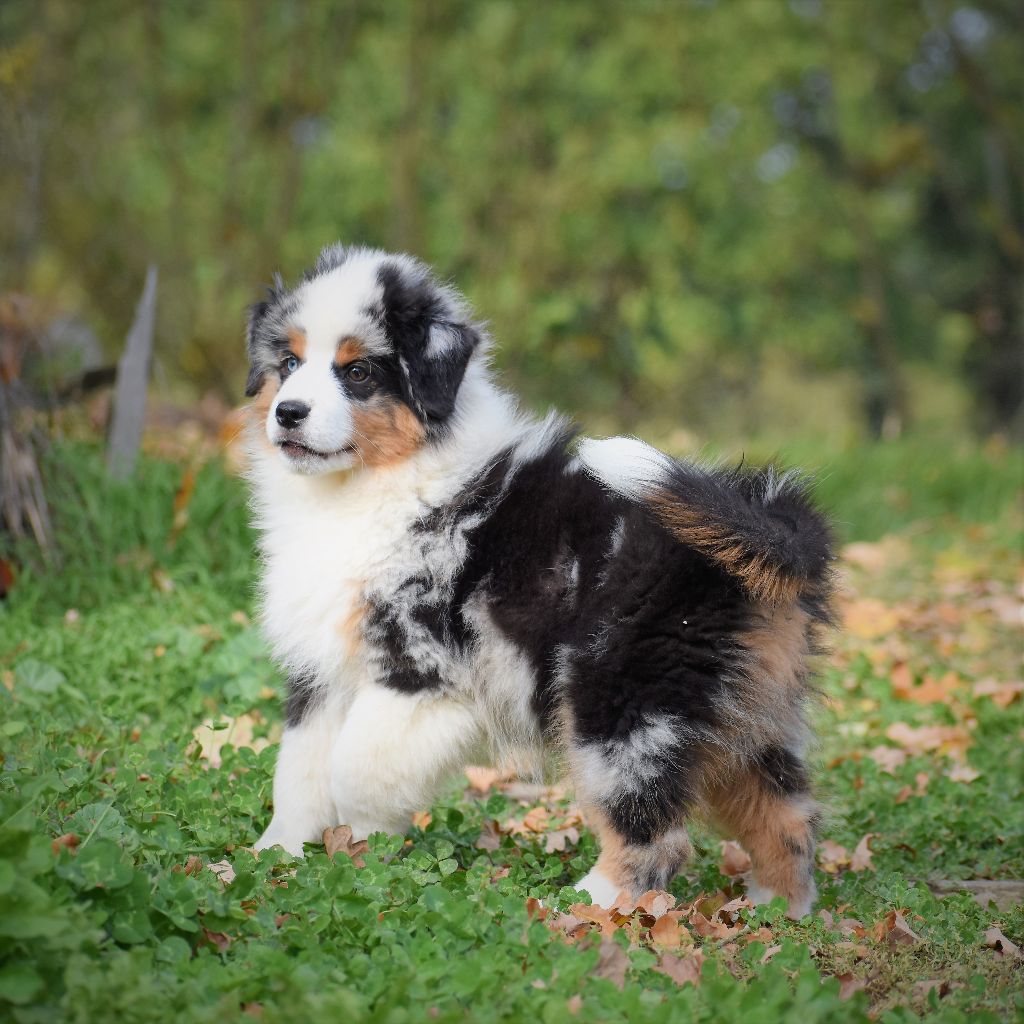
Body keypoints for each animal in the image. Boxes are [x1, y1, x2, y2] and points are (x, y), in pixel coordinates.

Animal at [245, 243, 831, 917]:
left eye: (359, 371)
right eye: (288, 363)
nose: (289, 413)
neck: (364, 487)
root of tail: (770, 523)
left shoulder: (420, 670)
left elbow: (355, 769)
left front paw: (363, 850)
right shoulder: (322, 671)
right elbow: (299, 770)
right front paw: (274, 857)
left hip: (623, 701)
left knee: (656, 835)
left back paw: (580, 910)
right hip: (740, 717)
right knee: (785, 819)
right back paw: (776, 915)